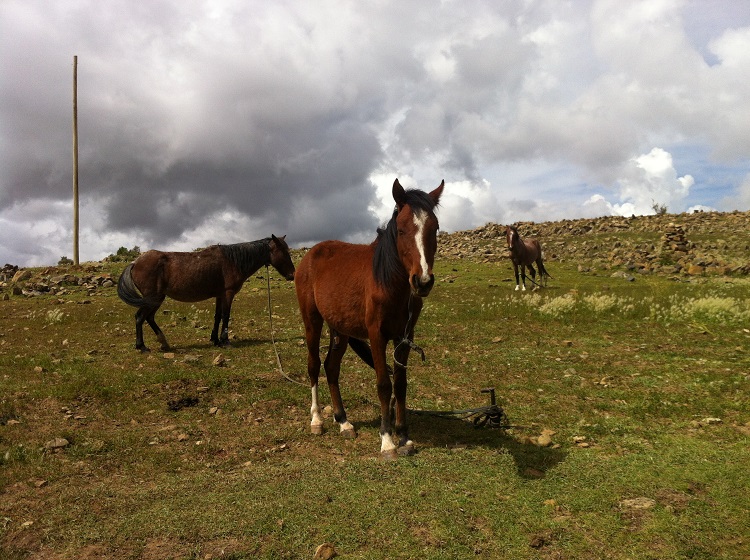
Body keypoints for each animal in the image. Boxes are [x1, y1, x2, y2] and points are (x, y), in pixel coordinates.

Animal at [116, 235, 296, 350]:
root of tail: (135, 263)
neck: (233, 260)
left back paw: (163, 343)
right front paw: (225, 341)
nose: (292, 275)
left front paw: (215, 340)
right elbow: (226, 316)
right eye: (284, 252)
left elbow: (217, 316)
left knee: (149, 317)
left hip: (156, 298)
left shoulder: (219, 294)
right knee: (140, 317)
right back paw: (142, 346)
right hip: (153, 297)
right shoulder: (228, 293)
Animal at [296, 179, 446, 460]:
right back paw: (317, 420)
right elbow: (384, 384)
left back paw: (343, 421)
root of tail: (310, 255)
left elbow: (400, 384)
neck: (389, 283)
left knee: (331, 368)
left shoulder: (404, 338)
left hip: (340, 330)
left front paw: (404, 436)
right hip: (312, 322)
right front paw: (387, 440)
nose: (422, 282)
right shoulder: (377, 335)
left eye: (435, 228)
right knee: (313, 365)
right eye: (401, 230)